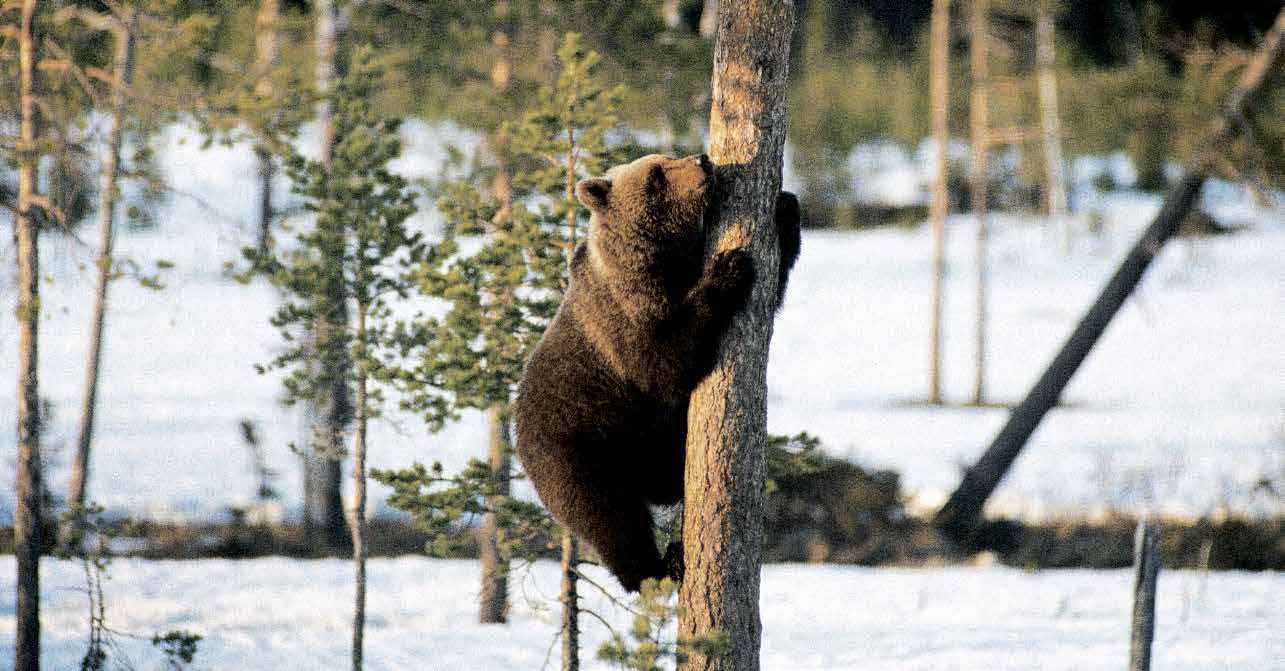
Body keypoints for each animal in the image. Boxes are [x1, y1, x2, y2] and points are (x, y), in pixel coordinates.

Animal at [514, 152, 796, 591]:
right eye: (656, 174)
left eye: (666, 158)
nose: (702, 159)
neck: (659, 260)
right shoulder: (626, 318)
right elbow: (663, 362)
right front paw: (729, 269)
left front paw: (784, 209)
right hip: (580, 447)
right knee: (611, 519)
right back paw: (661, 568)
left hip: (649, 441)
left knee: (666, 476)